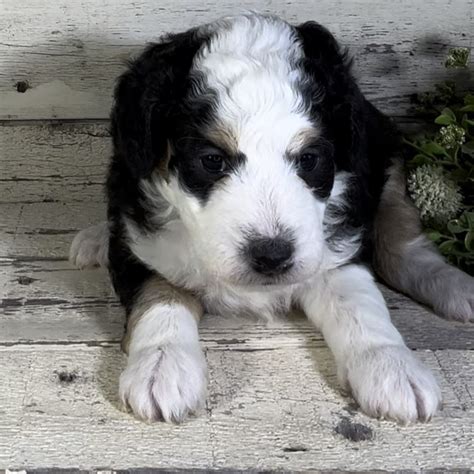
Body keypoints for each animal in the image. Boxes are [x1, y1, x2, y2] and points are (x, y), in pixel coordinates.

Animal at [70, 12, 474, 424]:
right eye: (212, 161)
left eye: (309, 160)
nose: (272, 256)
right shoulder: (140, 240)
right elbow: (160, 298)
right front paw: (161, 367)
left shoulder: (335, 248)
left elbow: (360, 304)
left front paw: (392, 368)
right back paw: (95, 239)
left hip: (385, 158)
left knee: (401, 245)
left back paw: (457, 288)